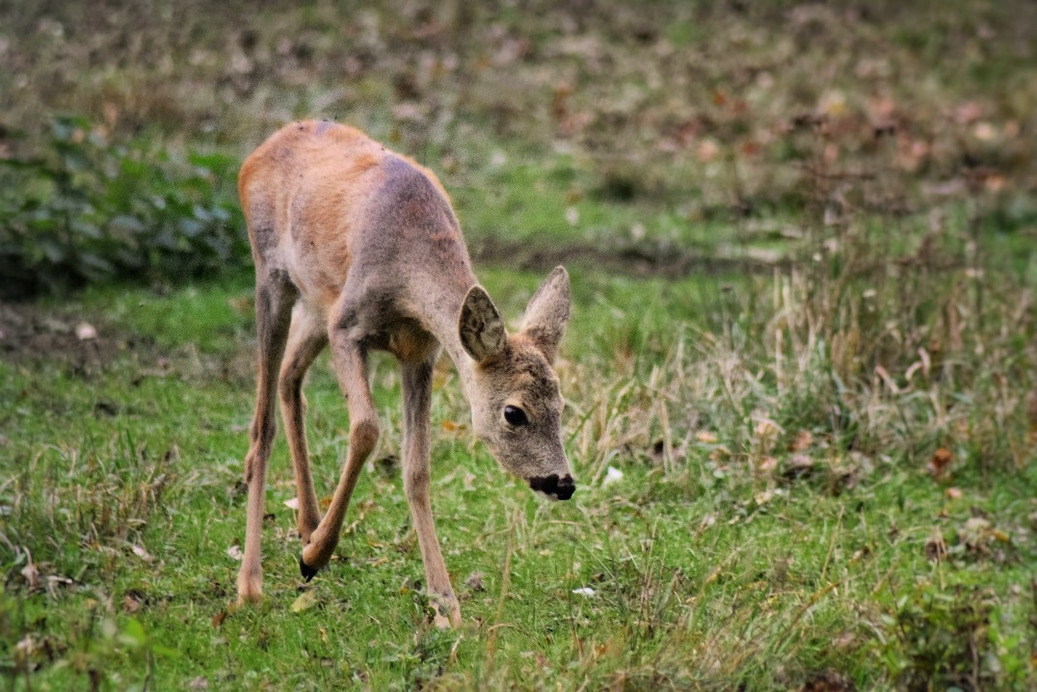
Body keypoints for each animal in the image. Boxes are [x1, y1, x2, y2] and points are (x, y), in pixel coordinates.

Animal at [233, 119, 576, 626]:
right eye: (514, 413)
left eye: (562, 406)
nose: (563, 483)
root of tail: (257, 151)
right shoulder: (348, 326)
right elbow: (366, 428)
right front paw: (314, 558)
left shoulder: (420, 353)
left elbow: (417, 469)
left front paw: (446, 603)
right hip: (272, 274)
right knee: (262, 421)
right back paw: (251, 583)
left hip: (317, 302)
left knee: (289, 378)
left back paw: (308, 523)